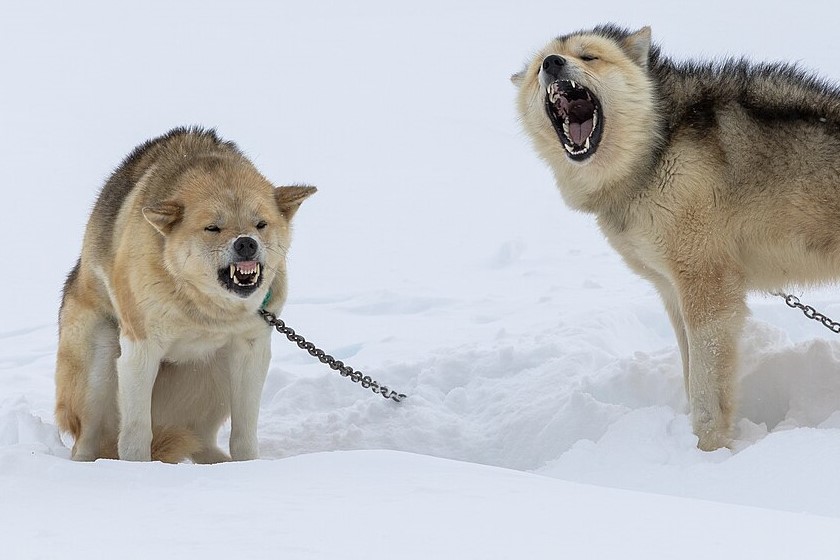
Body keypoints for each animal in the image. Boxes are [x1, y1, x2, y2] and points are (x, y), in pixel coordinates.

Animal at [54, 127, 316, 464]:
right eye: (213, 228)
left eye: (261, 224)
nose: (246, 243)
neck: (203, 307)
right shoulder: (140, 351)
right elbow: (136, 435)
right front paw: (137, 469)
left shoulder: (251, 350)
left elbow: (244, 436)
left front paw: (248, 468)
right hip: (99, 370)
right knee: (87, 442)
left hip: (216, 376)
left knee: (200, 439)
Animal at [516, 26, 840, 452]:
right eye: (540, 64)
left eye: (588, 57)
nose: (554, 64)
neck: (655, 147)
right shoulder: (672, 292)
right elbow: (690, 377)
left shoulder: (707, 288)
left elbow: (705, 389)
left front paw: (708, 452)